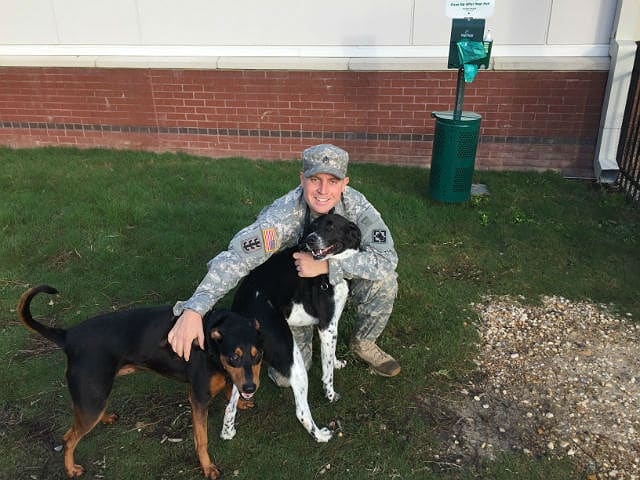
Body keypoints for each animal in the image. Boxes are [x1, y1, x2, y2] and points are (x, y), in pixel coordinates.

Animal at [17, 286, 262, 478]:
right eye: (234, 357)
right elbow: (202, 439)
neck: (213, 343)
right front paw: (208, 468)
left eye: (258, 355)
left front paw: (241, 402)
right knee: (68, 438)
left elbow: (231, 388)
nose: (251, 388)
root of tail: (68, 336)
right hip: (92, 398)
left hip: (94, 396)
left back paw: (106, 418)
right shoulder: (199, 398)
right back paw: (71, 469)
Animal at [225, 214, 360, 442]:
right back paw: (320, 435)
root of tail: (244, 314)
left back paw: (227, 430)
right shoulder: (327, 326)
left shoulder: (328, 326)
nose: (311, 240)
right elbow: (327, 372)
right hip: (292, 359)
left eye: (331, 227)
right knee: (301, 411)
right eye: (313, 226)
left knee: (231, 401)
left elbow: (330, 357)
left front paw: (337, 362)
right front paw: (330, 394)